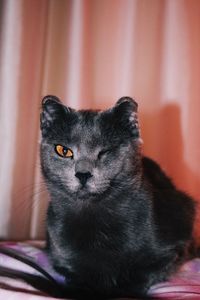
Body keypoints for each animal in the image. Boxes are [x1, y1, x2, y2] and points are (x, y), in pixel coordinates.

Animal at [0, 95, 196, 298]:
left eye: (106, 151)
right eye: (63, 150)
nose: (83, 174)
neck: (94, 218)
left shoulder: (174, 244)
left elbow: (144, 273)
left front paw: (123, 291)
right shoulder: (61, 254)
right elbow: (77, 275)